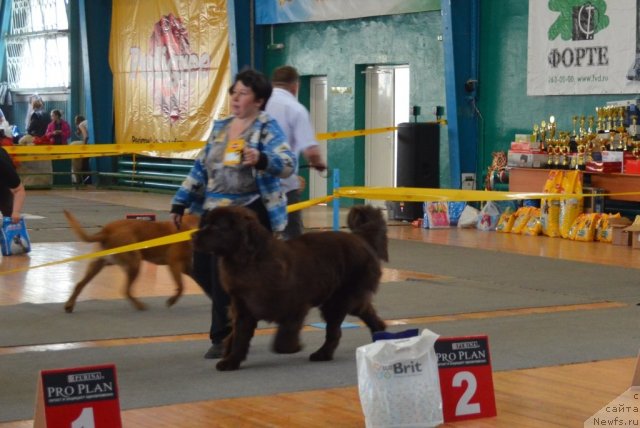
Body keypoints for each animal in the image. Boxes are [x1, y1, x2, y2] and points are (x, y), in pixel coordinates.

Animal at [62, 210, 199, 312]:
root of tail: (107, 231)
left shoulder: (187, 267)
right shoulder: (174, 264)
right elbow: (181, 287)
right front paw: (171, 301)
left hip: (98, 264)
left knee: (80, 284)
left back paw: (69, 305)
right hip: (134, 263)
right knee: (126, 290)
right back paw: (140, 306)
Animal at [192, 206, 388, 370]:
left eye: (217, 227)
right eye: (206, 223)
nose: (193, 236)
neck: (249, 262)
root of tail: (360, 238)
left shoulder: (295, 305)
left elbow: (282, 338)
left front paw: (294, 346)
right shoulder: (242, 307)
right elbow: (240, 337)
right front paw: (231, 361)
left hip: (338, 300)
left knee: (335, 331)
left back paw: (322, 354)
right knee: (366, 312)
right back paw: (378, 335)